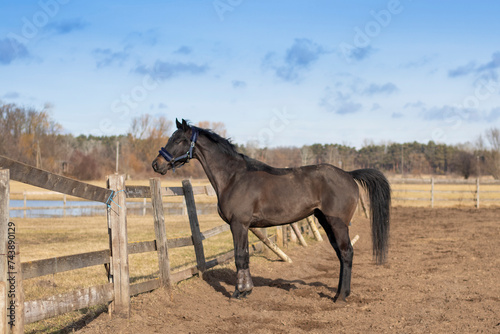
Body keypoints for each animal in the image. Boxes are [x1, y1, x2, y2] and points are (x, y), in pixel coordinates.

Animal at [152, 118, 390, 302]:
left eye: (179, 140)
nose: (157, 164)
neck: (234, 177)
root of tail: (349, 174)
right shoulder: (244, 226)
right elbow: (245, 256)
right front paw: (246, 290)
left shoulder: (239, 224)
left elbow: (240, 257)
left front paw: (239, 293)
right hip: (325, 222)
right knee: (341, 254)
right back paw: (339, 293)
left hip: (337, 223)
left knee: (347, 253)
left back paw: (341, 297)